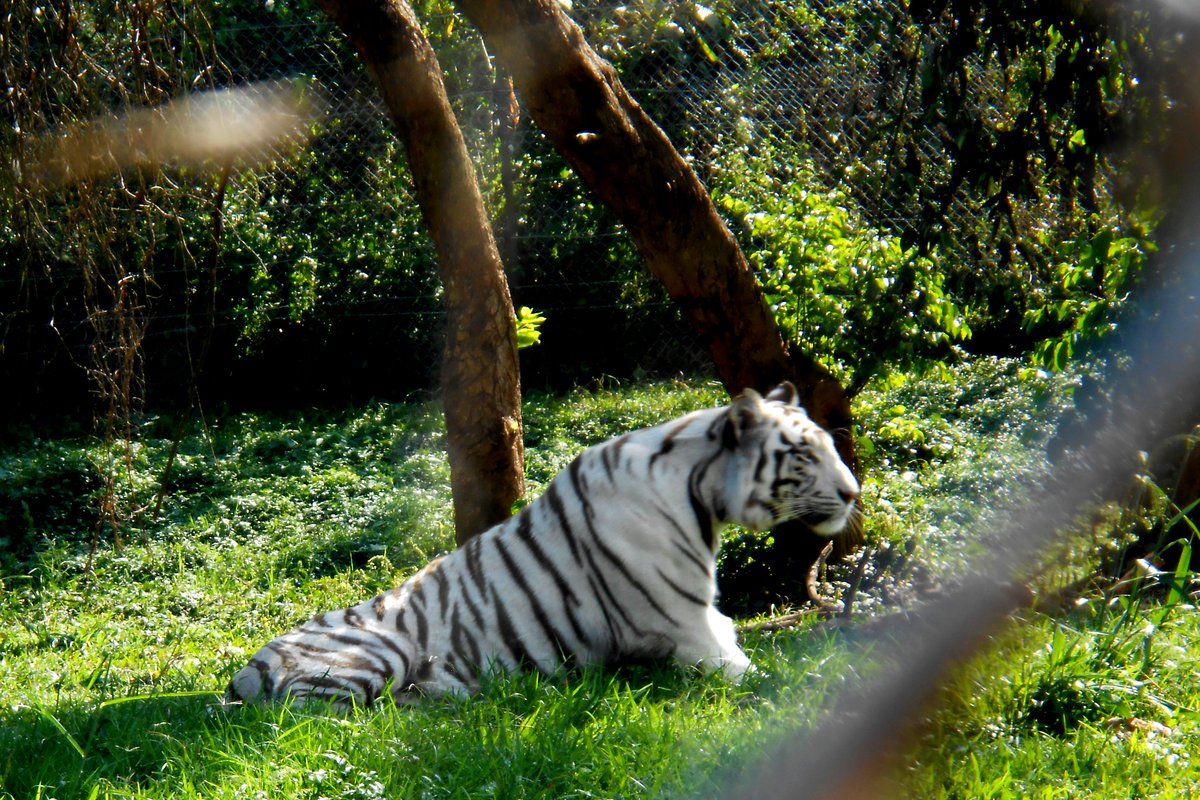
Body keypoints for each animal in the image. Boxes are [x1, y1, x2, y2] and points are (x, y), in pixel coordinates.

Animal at [225, 383, 859, 705]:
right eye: (804, 455)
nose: (854, 493)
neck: (701, 496)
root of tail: (244, 670)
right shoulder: (693, 633)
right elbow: (776, 677)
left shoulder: (711, 625)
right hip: (380, 650)